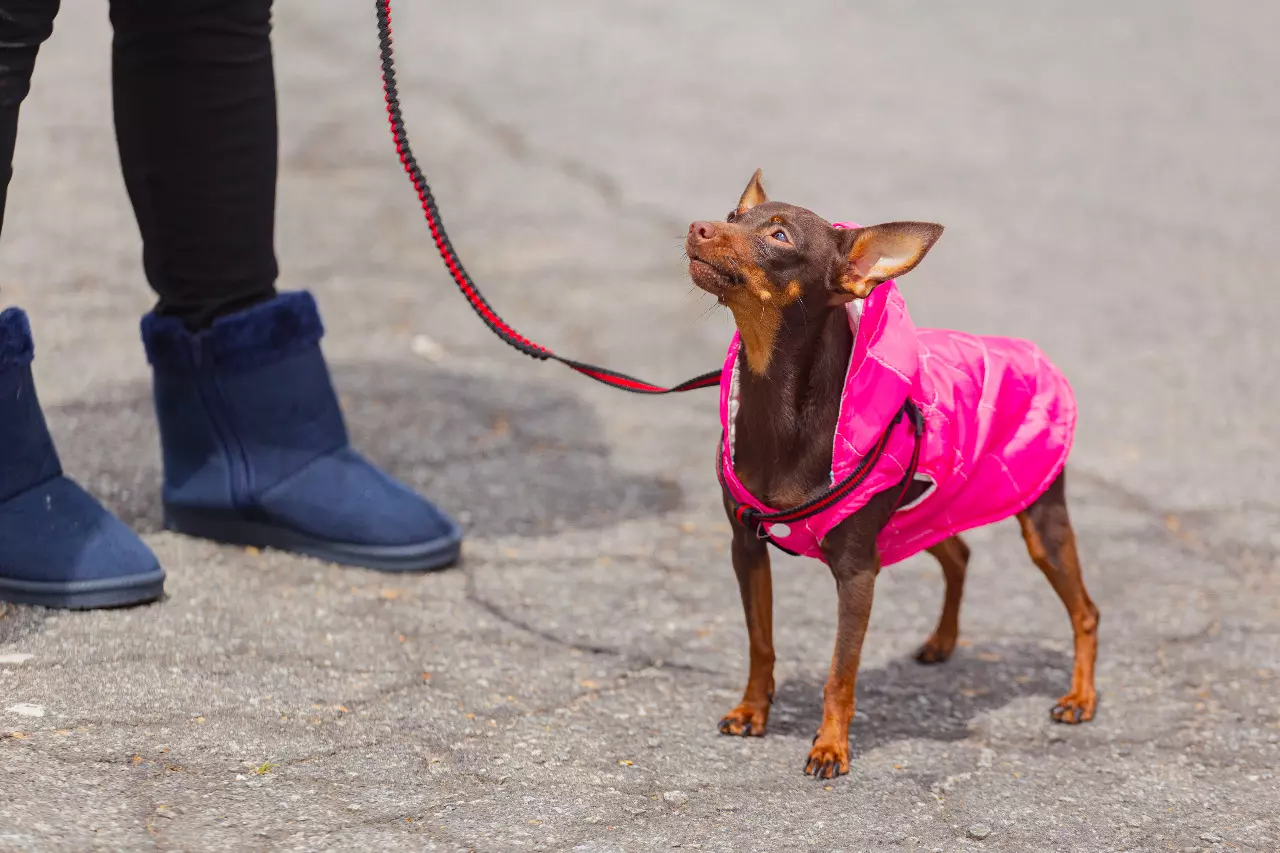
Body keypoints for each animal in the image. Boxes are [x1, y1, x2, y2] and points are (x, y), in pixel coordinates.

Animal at [686, 171, 1095, 778]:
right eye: (733, 216)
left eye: (779, 236)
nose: (697, 225)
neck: (778, 401)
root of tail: (1029, 352)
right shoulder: (747, 547)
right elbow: (761, 643)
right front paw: (752, 711)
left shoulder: (858, 572)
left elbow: (841, 670)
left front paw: (831, 746)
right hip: (925, 511)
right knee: (959, 554)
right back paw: (942, 641)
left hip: (1038, 520)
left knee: (1085, 612)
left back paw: (1082, 697)